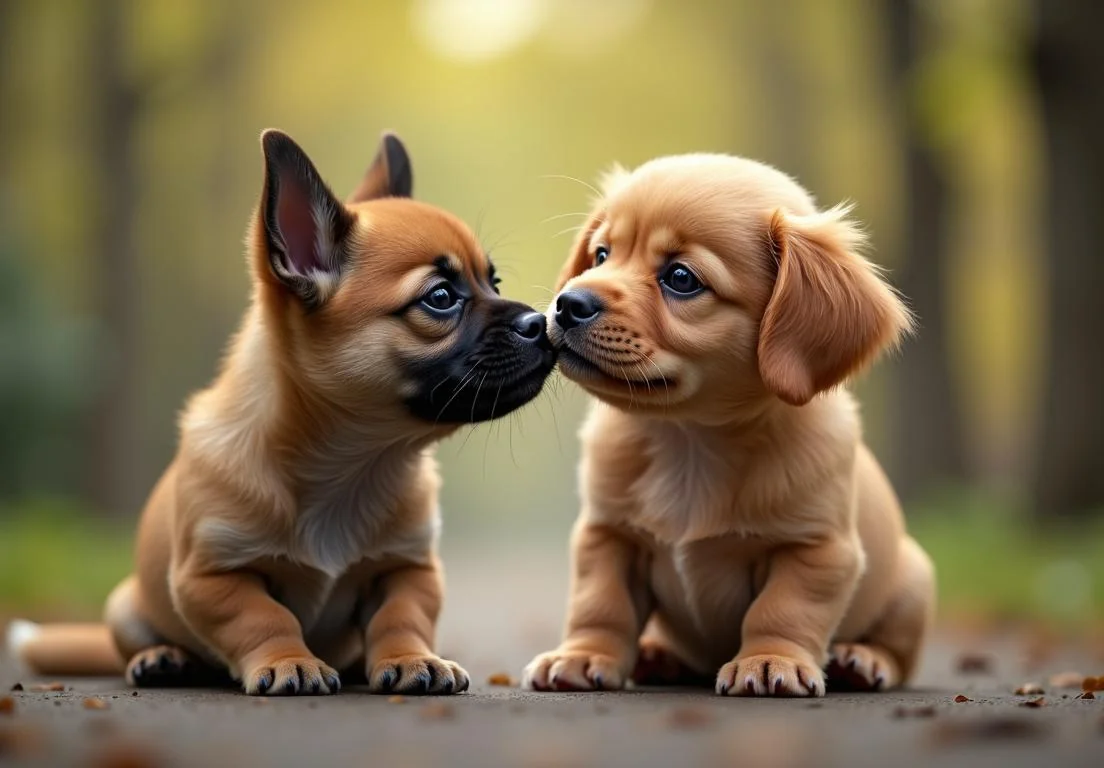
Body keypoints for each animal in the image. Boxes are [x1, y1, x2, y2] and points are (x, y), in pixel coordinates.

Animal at [8, 129, 556, 692]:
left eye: (494, 282)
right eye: (441, 297)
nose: (541, 321)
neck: (352, 464)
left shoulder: (409, 568)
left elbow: (400, 617)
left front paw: (411, 658)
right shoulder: (214, 577)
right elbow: (263, 617)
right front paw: (288, 660)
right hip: (126, 608)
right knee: (139, 644)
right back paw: (162, 658)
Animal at [523, 154, 931, 697]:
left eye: (681, 277)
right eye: (601, 255)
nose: (568, 303)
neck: (690, 440)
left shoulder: (817, 550)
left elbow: (782, 610)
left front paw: (770, 660)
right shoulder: (608, 535)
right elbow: (600, 604)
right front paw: (583, 654)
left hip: (913, 583)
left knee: (898, 654)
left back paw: (861, 660)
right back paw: (658, 655)